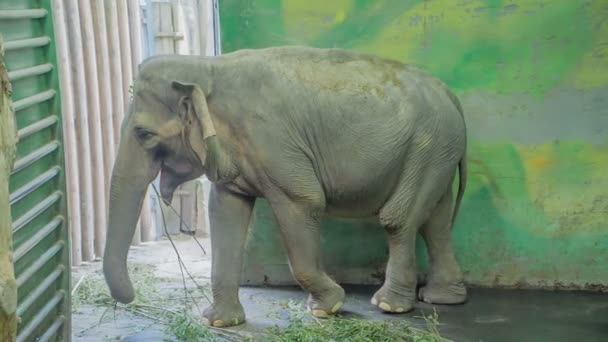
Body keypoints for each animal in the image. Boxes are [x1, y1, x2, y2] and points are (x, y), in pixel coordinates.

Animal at [103, 45, 466, 328]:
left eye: (144, 134)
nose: (130, 298)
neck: (207, 66)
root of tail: (451, 95)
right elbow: (225, 214)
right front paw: (217, 322)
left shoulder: (275, 143)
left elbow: (304, 201)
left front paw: (328, 307)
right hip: (438, 152)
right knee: (436, 219)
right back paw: (443, 298)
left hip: (428, 143)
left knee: (399, 219)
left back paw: (389, 305)